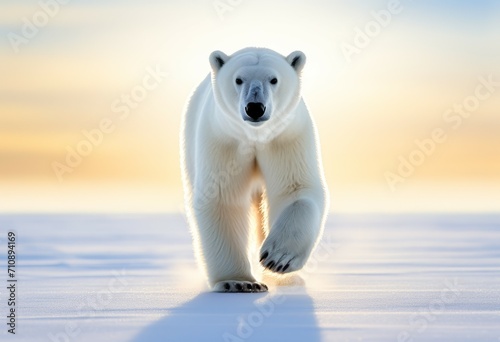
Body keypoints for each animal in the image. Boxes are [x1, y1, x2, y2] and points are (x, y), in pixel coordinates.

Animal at [180, 46, 328, 292]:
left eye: (274, 79)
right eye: (238, 79)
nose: (255, 108)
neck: (256, 136)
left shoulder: (285, 137)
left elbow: (295, 188)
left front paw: (278, 258)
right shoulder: (225, 140)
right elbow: (223, 197)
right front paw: (239, 282)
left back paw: (288, 279)